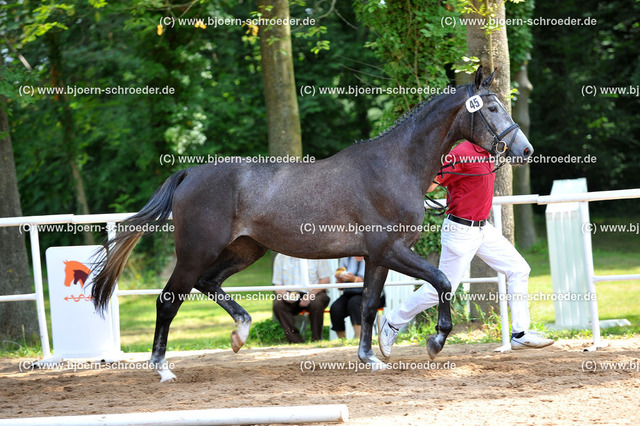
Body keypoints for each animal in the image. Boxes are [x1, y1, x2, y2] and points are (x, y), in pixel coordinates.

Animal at [90, 67, 528, 382]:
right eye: (491, 108)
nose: (525, 149)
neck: (395, 167)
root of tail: (189, 174)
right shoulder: (391, 250)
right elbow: (442, 281)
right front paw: (436, 340)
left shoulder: (377, 256)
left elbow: (368, 305)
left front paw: (371, 358)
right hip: (196, 252)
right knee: (168, 301)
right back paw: (163, 368)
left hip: (245, 250)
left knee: (208, 283)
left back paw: (240, 333)